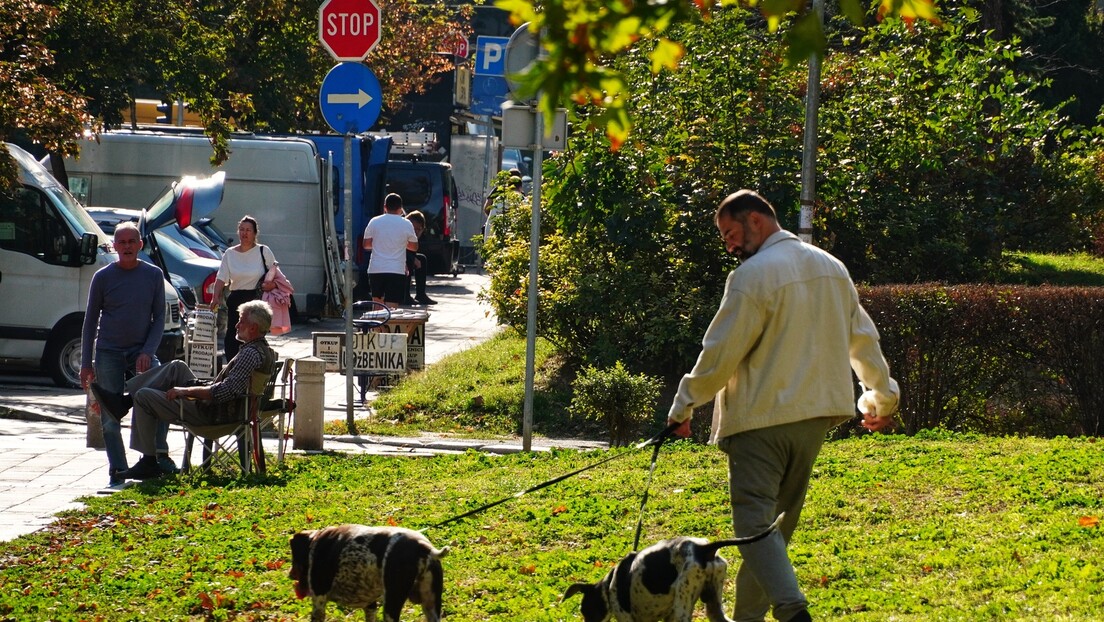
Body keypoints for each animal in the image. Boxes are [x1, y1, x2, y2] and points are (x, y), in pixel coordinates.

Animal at [291, 525, 450, 622]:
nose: (290, 574)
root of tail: (423, 547)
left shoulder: (319, 601)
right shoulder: (370, 605)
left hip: (392, 605)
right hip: (431, 605)